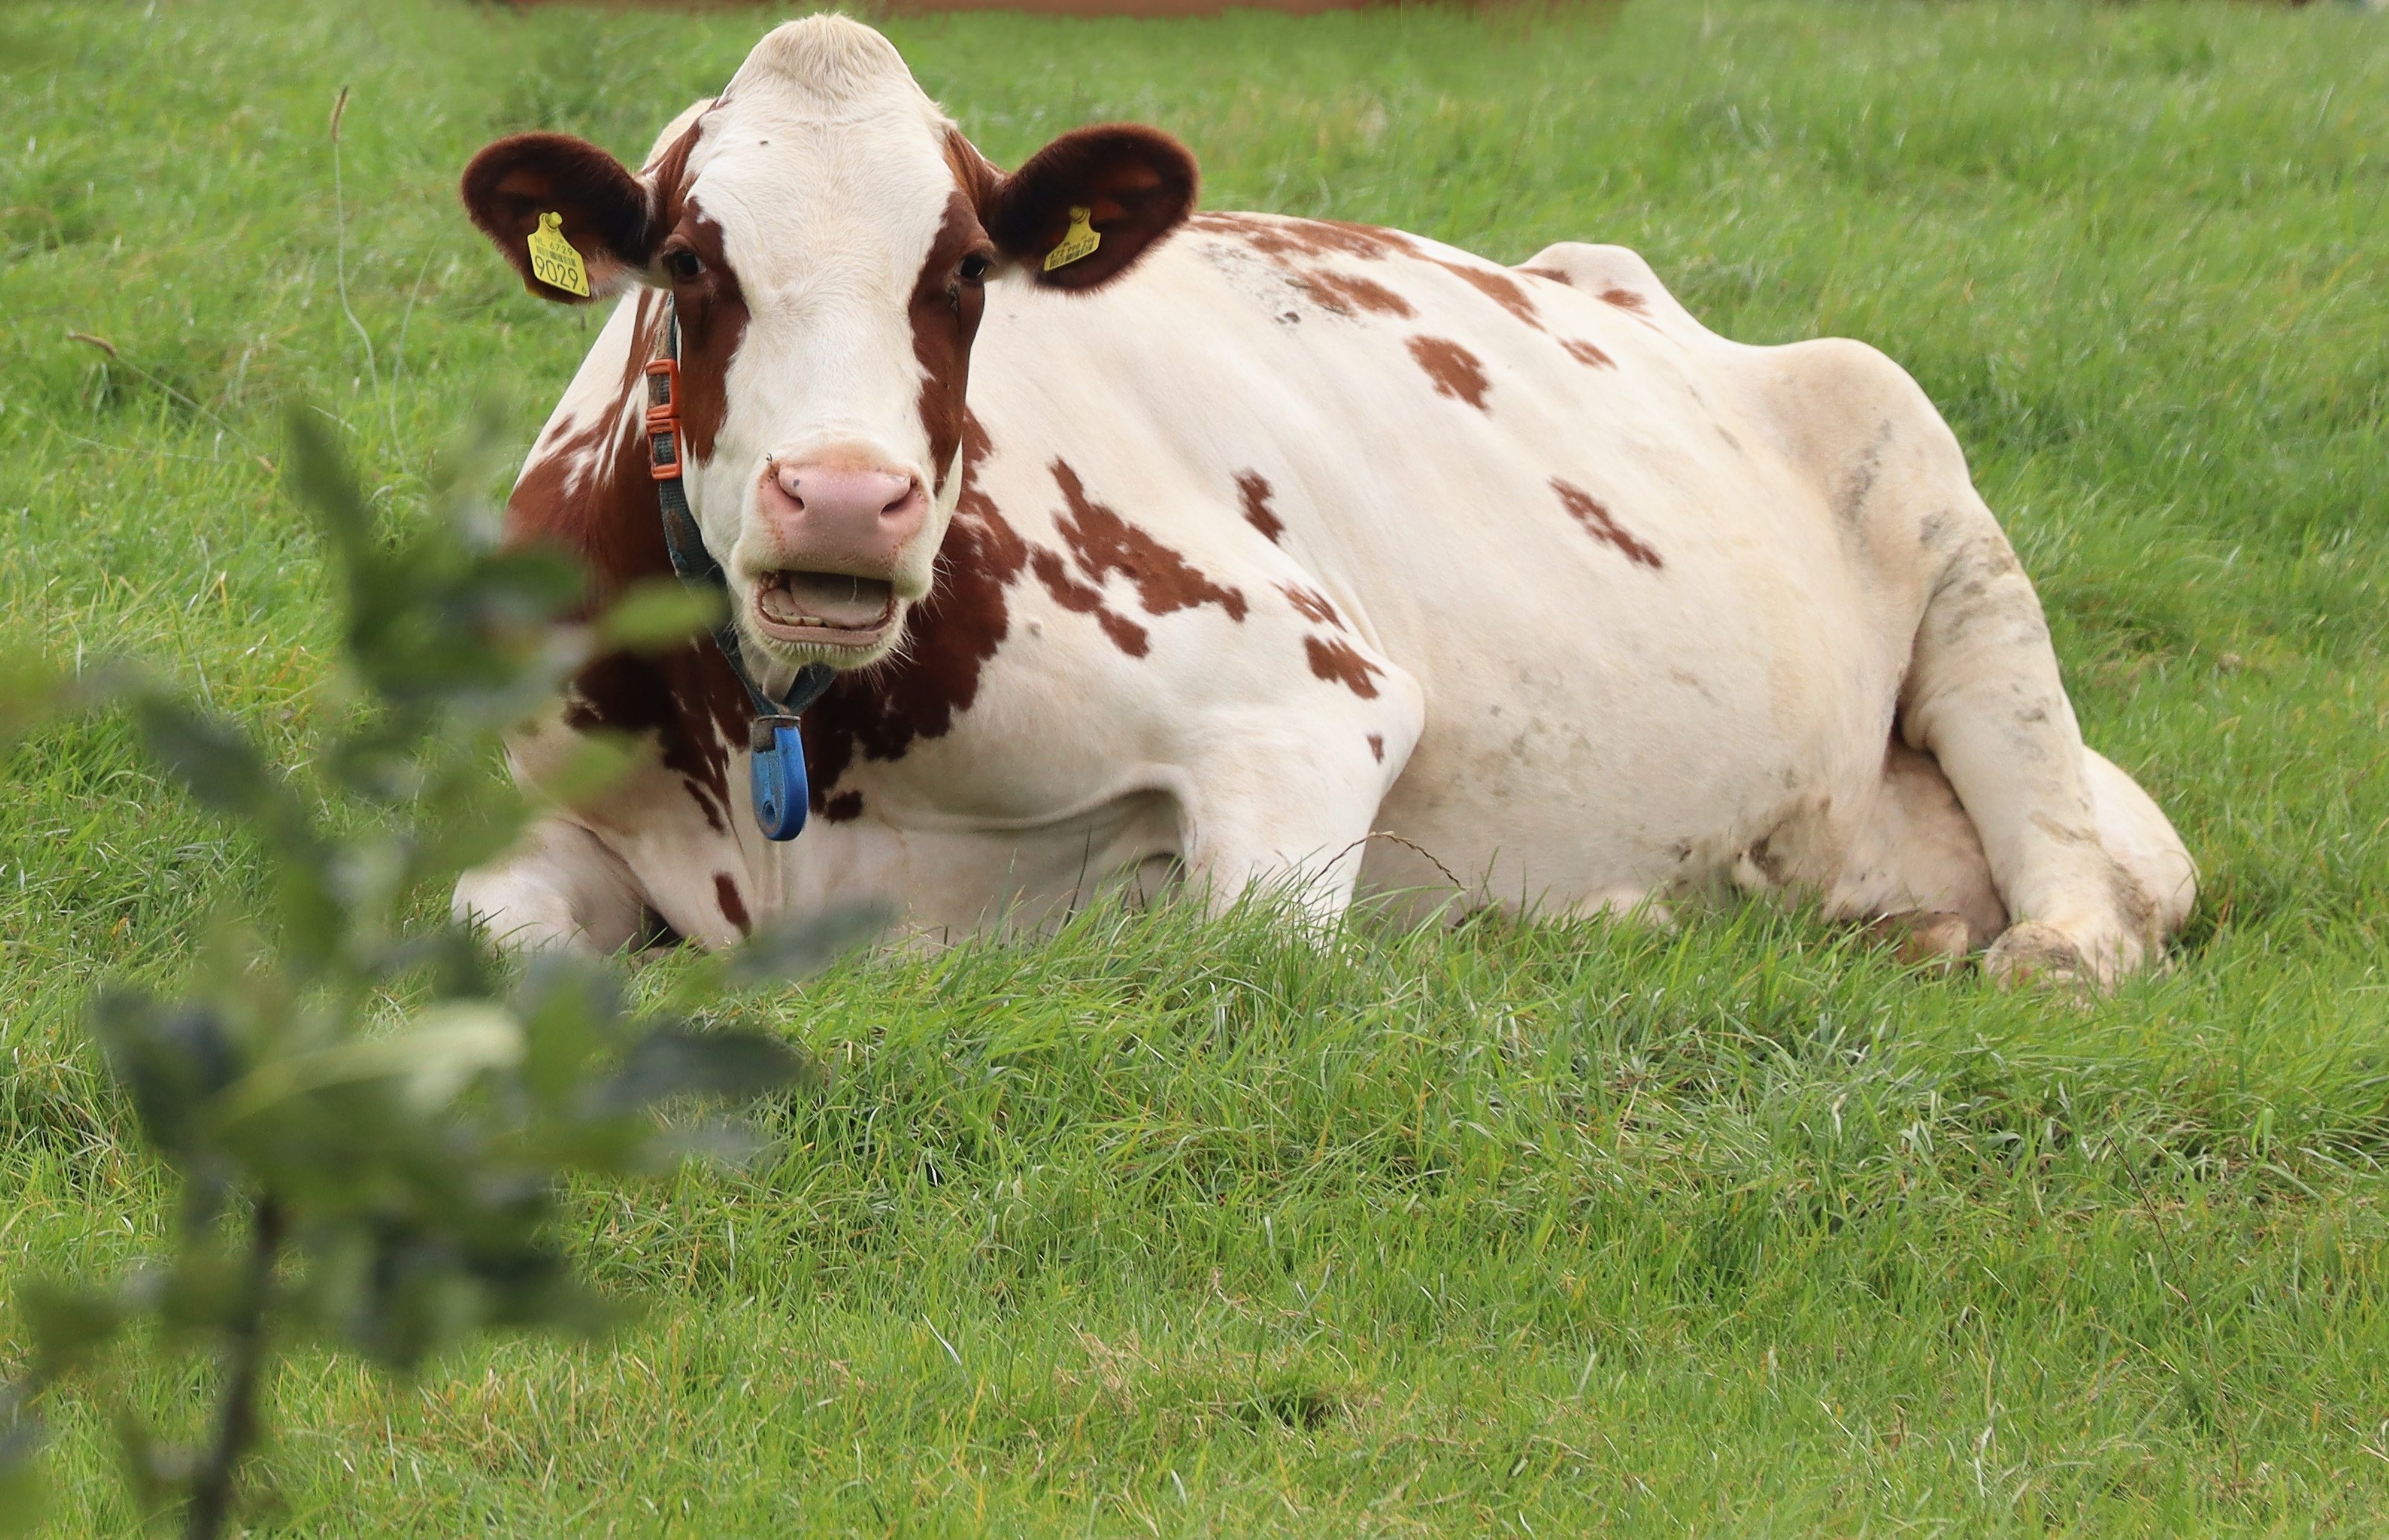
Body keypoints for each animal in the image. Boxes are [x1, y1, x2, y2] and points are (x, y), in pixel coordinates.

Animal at [451, 15, 2195, 985]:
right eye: (690, 261)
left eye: (963, 274)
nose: (841, 501)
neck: (793, 744)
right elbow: (488, 939)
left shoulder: (1302, 704)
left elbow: (1214, 944)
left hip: (1924, 480)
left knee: (2064, 844)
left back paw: (2027, 946)